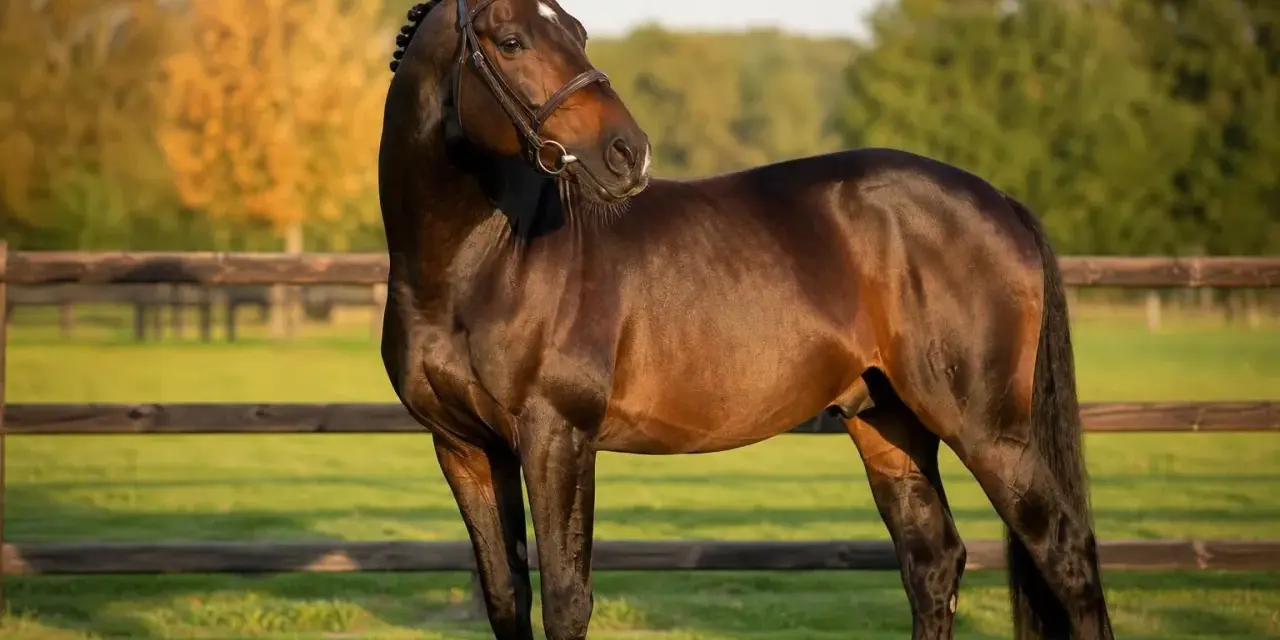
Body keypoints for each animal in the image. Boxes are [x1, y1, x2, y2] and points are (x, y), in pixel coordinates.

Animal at [376, 1, 1115, 638]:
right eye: (511, 42)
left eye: (578, 32)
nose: (627, 151)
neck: (487, 260)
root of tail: (1001, 201)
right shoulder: (465, 448)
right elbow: (507, 598)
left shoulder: (557, 436)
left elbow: (566, 600)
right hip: (888, 422)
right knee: (934, 564)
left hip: (988, 430)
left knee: (1066, 553)